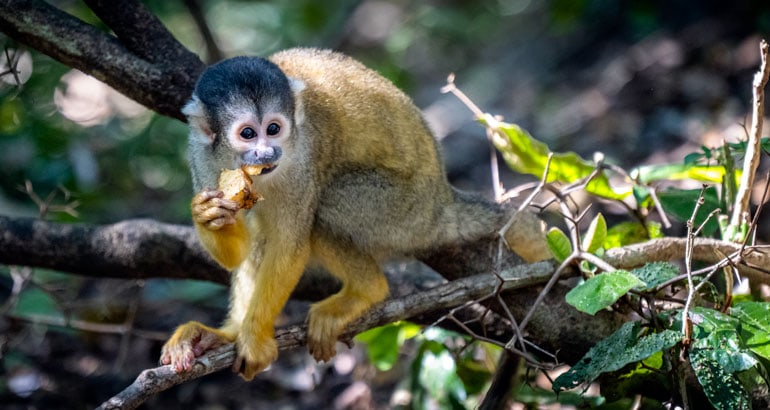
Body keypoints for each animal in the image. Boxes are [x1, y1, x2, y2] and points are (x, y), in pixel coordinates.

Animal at [159, 48, 500, 382]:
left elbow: (290, 245)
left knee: (322, 209)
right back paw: (223, 335)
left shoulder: (303, 156)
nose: (267, 153)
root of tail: (443, 199)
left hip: (406, 210)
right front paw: (208, 215)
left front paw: (253, 339)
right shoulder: (200, 155)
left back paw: (367, 289)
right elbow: (238, 253)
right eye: (247, 134)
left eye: (273, 129)